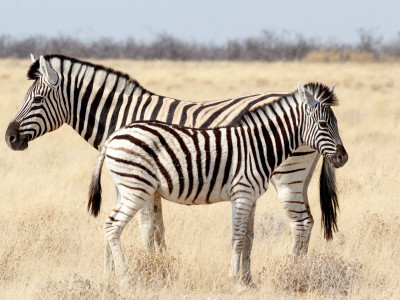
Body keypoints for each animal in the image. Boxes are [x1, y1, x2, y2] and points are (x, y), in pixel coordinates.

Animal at [6, 54, 338, 255]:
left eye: (36, 99)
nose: (9, 138)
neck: (124, 115)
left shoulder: (140, 183)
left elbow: (146, 228)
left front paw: (151, 267)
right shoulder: (149, 185)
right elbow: (156, 228)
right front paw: (159, 263)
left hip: (287, 176)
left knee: (301, 222)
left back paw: (293, 269)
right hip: (300, 178)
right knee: (307, 221)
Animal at [89, 82, 348, 286]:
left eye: (336, 123)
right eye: (323, 125)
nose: (343, 158)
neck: (259, 145)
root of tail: (114, 135)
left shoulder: (250, 196)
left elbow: (248, 237)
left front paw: (246, 281)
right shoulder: (241, 193)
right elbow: (238, 237)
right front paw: (235, 280)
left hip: (126, 188)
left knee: (109, 224)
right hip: (136, 189)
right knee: (113, 226)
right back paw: (125, 279)